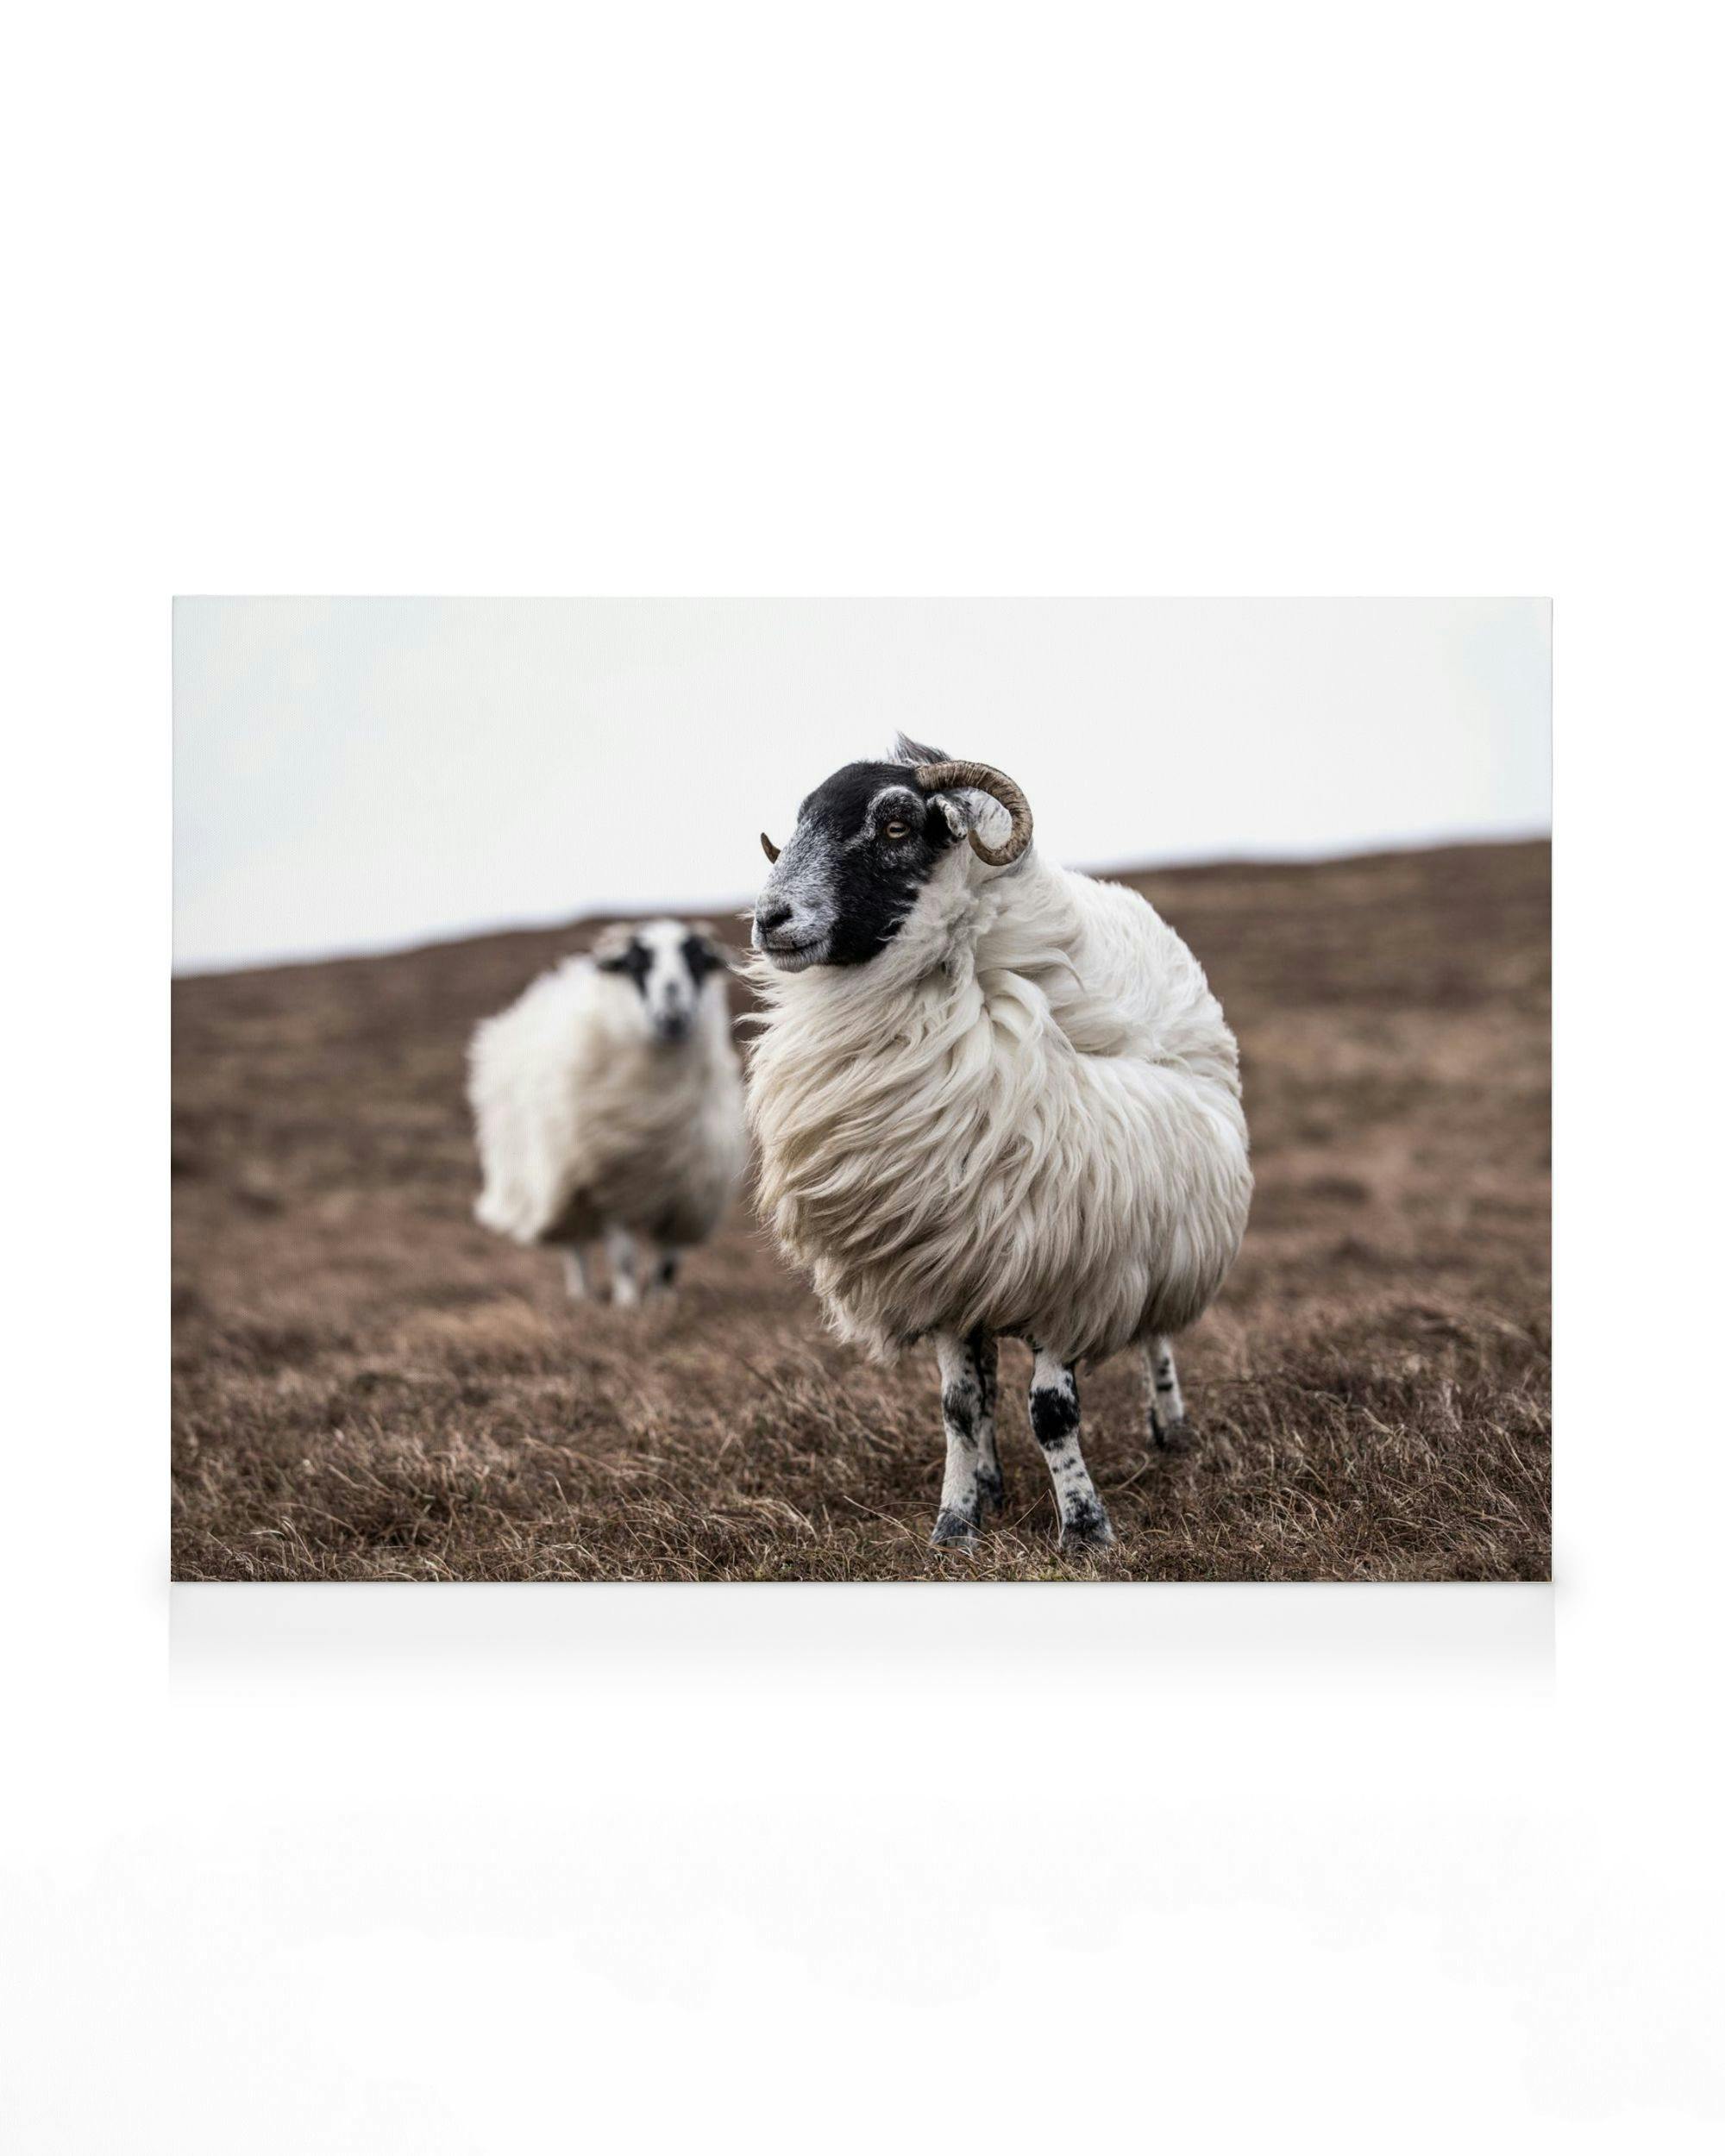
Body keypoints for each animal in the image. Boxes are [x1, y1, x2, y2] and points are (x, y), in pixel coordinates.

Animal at [469, 919, 745, 1305]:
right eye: (636, 963)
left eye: (697, 962)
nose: (673, 1016)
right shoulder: (610, 1188)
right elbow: (624, 1256)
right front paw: (628, 1305)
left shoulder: (688, 1194)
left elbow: (668, 1262)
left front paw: (662, 1304)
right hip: (561, 1185)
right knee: (575, 1248)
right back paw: (581, 1297)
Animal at [746, 738, 1251, 1553]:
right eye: (799, 824)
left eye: (895, 826)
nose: (770, 918)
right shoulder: (946, 1262)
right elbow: (959, 1405)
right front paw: (955, 1524)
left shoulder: (1074, 1263)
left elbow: (1052, 1412)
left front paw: (1085, 1529)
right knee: (982, 1382)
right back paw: (990, 1482)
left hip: (1159, 1223)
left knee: (1154, 1335)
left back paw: (1170, 1428)